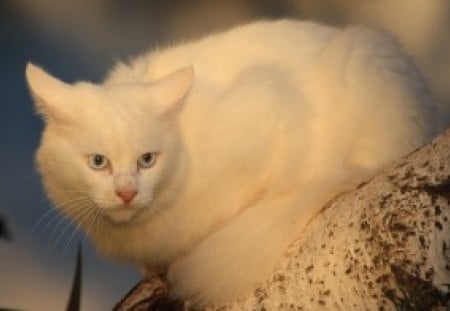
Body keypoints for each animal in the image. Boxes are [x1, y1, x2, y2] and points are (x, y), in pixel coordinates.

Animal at [25, 18, 440, 304]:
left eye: (147, 160)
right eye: (98, 162)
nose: (126, 193)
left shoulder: (271, 116)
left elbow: (235, 205)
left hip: (360, 58)